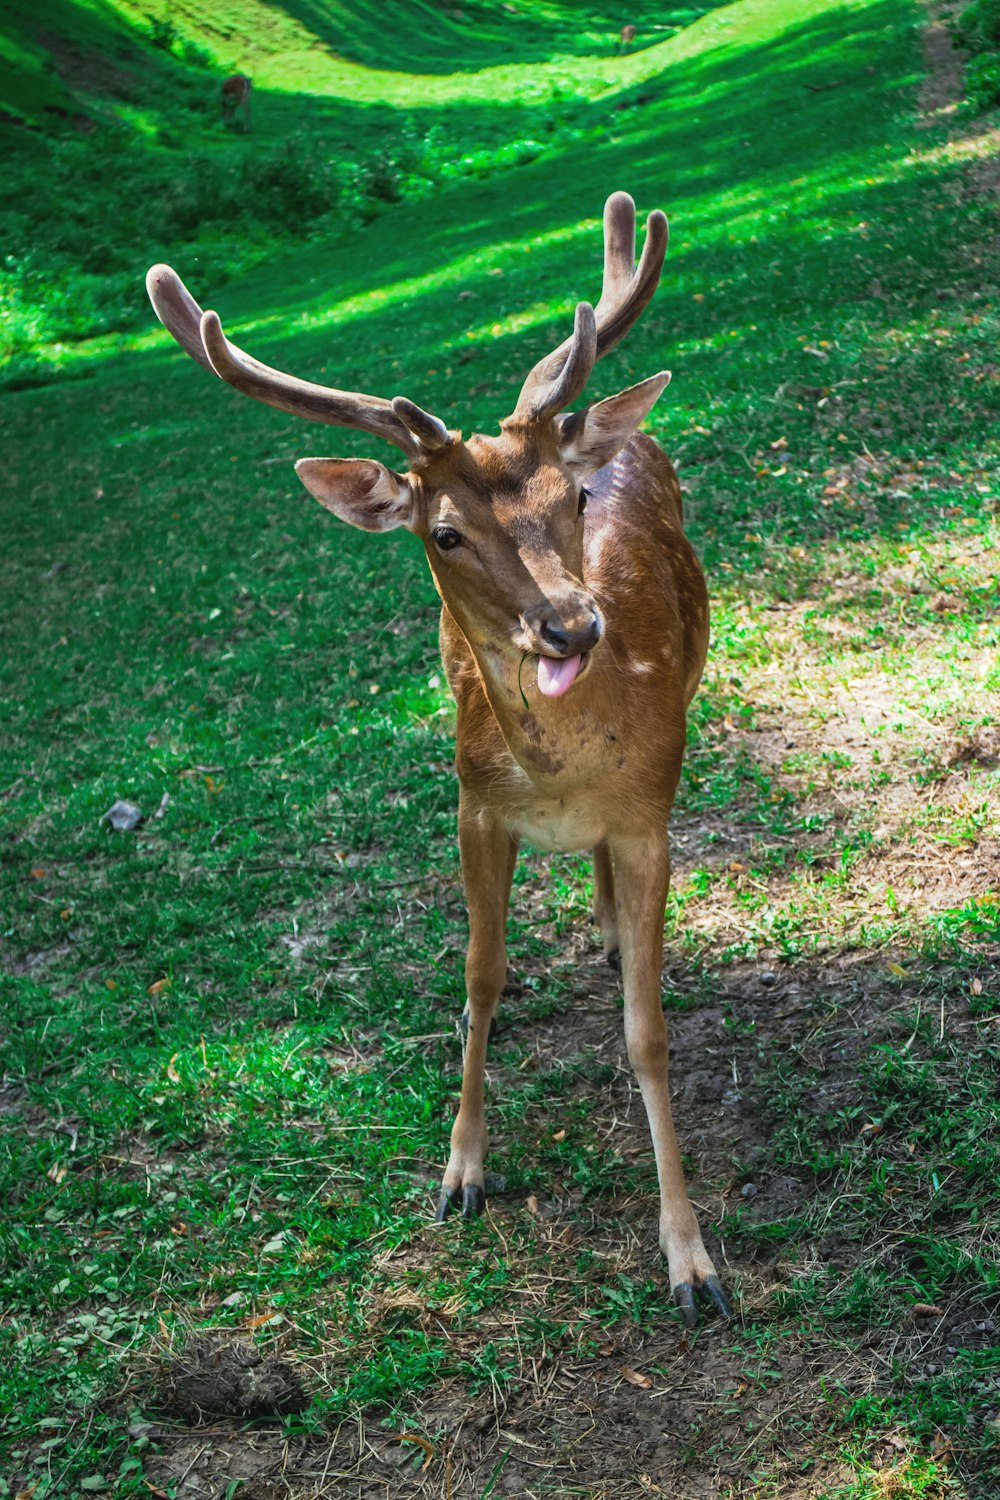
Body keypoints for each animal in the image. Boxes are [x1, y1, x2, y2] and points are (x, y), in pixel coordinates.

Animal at [144, 190, 731, 1326]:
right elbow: (480, 978)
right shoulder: (472, 806)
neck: (560, 775)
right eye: (446, 534)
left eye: (571, 503)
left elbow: (646, 1028)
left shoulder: (652, 809)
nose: (571, 625)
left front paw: (691, 1262)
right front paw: (460, 1175)